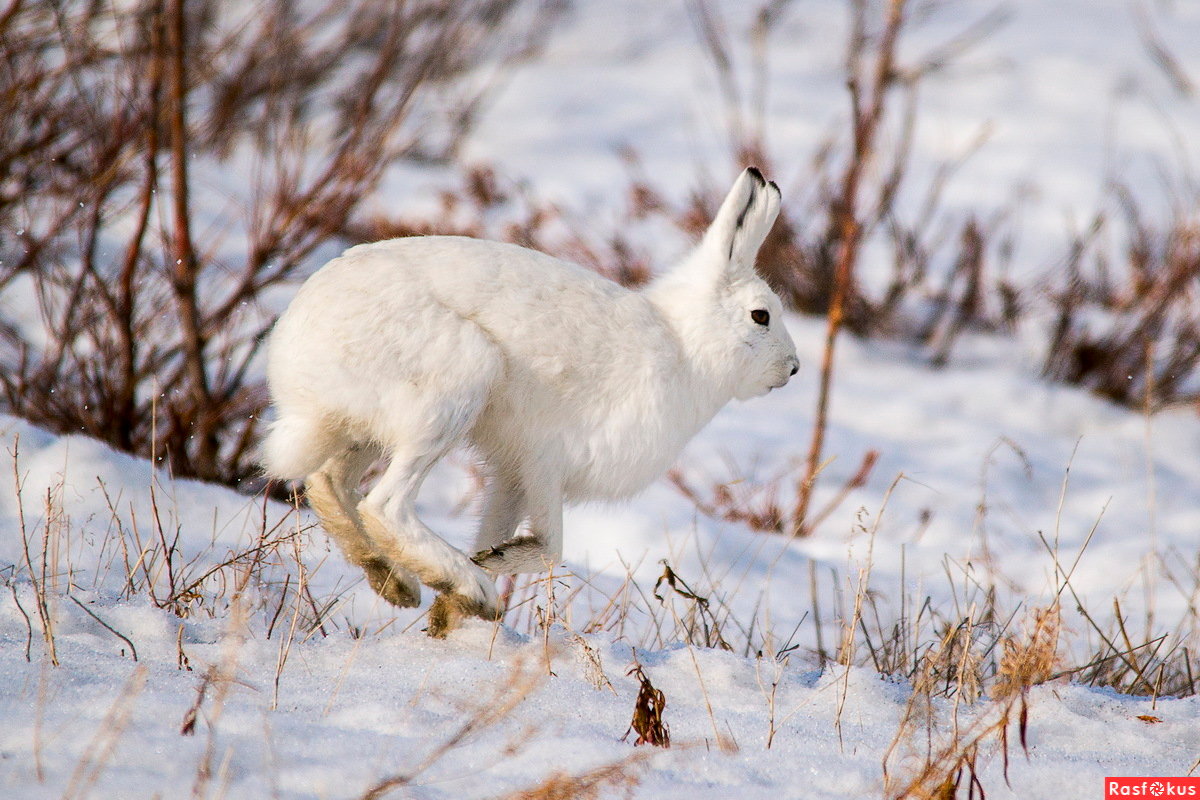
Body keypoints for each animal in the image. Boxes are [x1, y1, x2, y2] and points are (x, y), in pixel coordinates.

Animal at [261, 167, 799, 635]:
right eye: (760, 316)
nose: (793, 368)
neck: (685, 346)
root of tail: (294, 365)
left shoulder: (510, 473)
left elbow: (498, 529)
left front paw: (452, 616)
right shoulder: (545, 458)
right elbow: (551, 547)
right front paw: (483, 576)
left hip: (370, 426)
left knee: (329, 481)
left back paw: (399, 582)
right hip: (453, 387)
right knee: (385, 504)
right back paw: (468, 586)